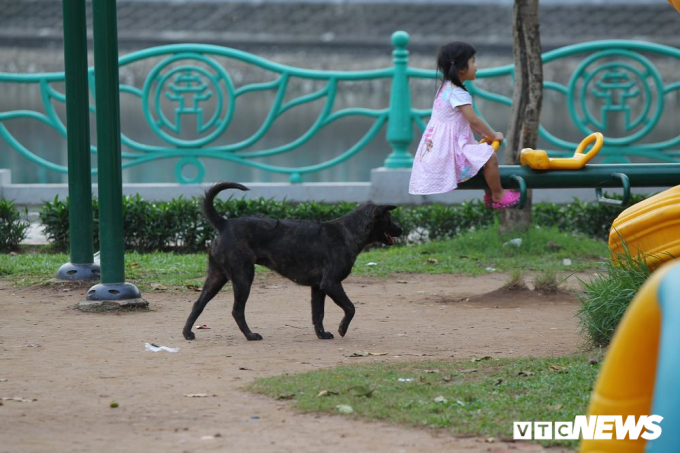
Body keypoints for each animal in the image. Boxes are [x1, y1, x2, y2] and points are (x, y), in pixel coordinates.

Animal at [182, 182, 404, 340]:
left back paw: (187, 333)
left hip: (216, 276)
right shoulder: (331, 283)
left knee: (198, 304)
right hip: (243, 276)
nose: (402, 229)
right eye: (390, 218)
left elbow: (318, 314)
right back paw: (251, 335)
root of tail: (224, 223)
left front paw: (322, 335)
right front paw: (342, 329)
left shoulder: (319, 287)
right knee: (237, 311)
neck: (347, 232)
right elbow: (350, 307)